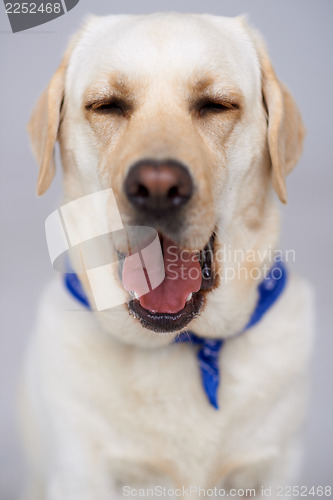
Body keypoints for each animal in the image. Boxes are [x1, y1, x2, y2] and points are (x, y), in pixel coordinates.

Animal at [22, 11, 312, 500]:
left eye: (215, 105)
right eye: (107, 106)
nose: (157, 187)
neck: (177, 344)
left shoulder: (279, 467)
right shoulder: (81, 472)